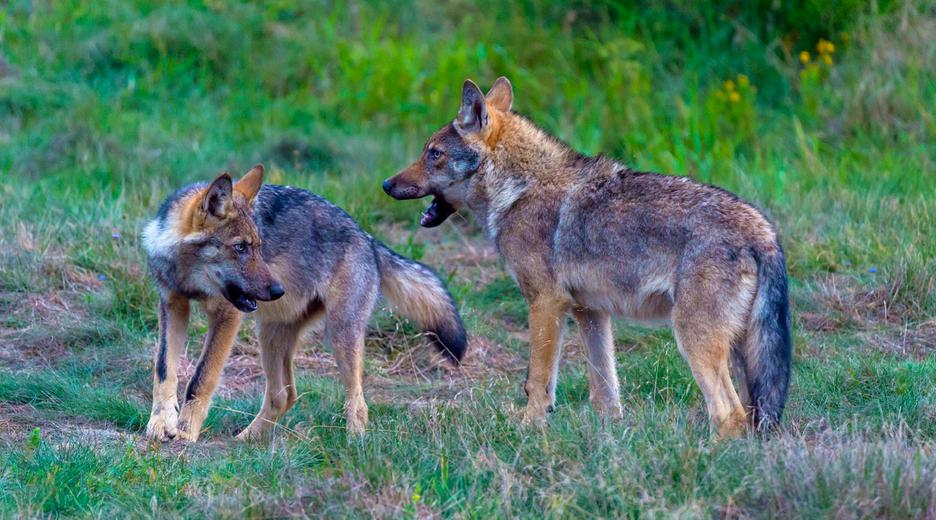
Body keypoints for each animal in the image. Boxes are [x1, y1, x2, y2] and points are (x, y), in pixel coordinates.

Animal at [144, 165, 468, 440]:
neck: (186, 274)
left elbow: (201, 378)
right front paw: (160, 424)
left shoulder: (227, 316)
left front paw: (185, 433)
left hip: (339, 336)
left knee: (357, 401)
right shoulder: (172, 306)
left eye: (258, 247)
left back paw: (355, 445)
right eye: (240, 248)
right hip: (271, 334)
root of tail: (368, 238)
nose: (278, 289)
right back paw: (246, 441)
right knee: (283, 396)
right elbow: (164, 369)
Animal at [384, 77, 792, 434]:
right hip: (741, 354)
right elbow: (605, 393)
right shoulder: (590, 311)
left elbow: (538, 379)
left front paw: (529, 428)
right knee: (749, 414)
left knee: (728, 413)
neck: (518, 190)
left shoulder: (546, 302)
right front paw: (609, 437)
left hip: (694, 340)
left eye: (434, 154)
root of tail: (764, 232)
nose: (387, 184)